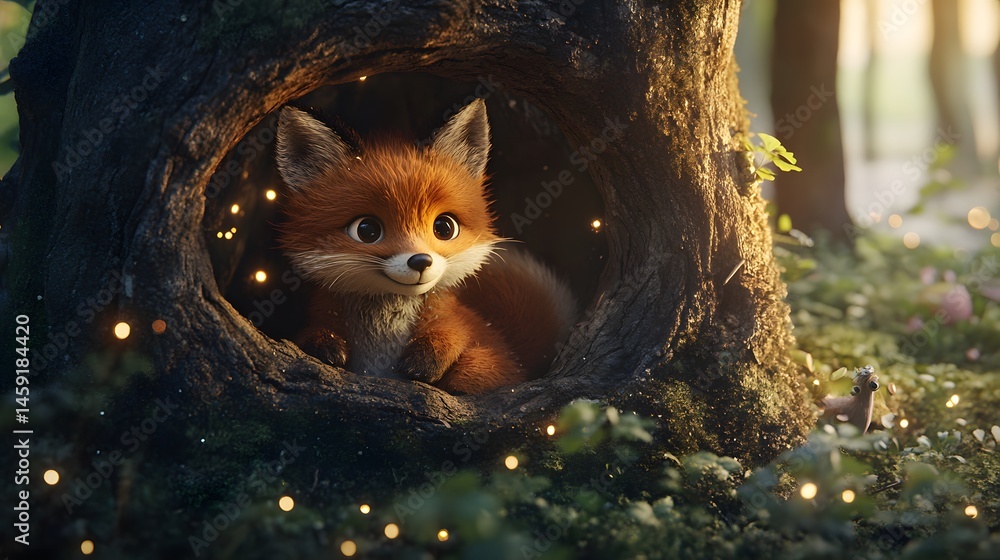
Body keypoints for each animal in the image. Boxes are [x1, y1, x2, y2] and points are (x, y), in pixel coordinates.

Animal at [274, 99, 577, 394]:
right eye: (366, 230)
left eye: (444, 227)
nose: (421, 261)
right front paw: (323, 342)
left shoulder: (460, 326)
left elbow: (457, 333)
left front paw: (430, 357)